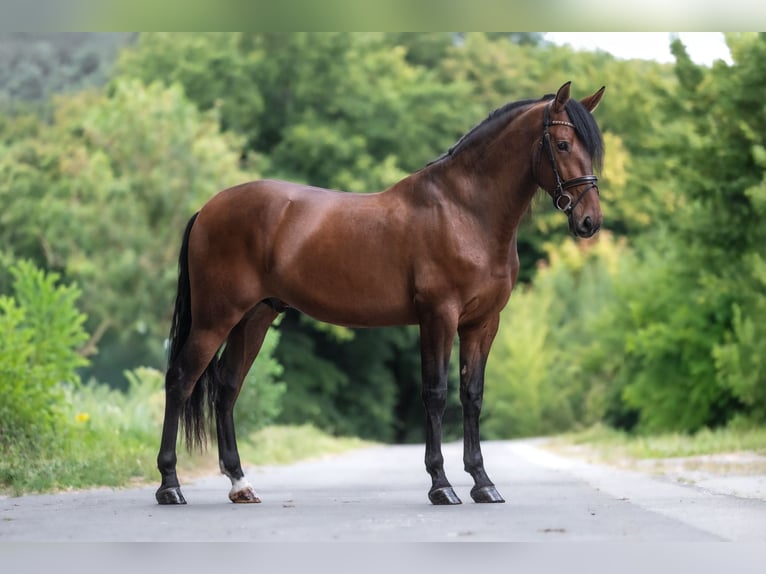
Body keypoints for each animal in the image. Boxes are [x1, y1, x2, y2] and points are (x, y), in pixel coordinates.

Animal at [155, 81, 605, 506]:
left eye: (591, 149)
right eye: (563, 144)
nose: (589, 221)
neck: (464, 211)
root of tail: (207, 209)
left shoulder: (482, 323)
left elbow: (472, 396)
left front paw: (483, 483)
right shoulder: (438, 317)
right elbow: (436, 394)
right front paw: (441, 486)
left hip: (254, 318)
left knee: (227, 389)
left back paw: (240, 484)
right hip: (215, 318)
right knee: (180, 380)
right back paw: (170, 486)